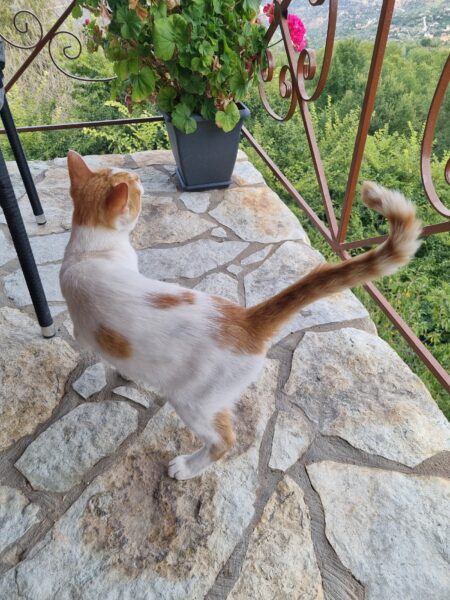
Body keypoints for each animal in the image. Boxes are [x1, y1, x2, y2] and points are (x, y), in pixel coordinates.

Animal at [60, 150, 422, 480]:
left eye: (131, 180)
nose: (137, 177)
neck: (90, 250)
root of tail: (245, 318)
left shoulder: (88, 333)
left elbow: (107, 358)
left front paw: (123, 374)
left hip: (192, 401)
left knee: (224, 441)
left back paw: (186, 468)